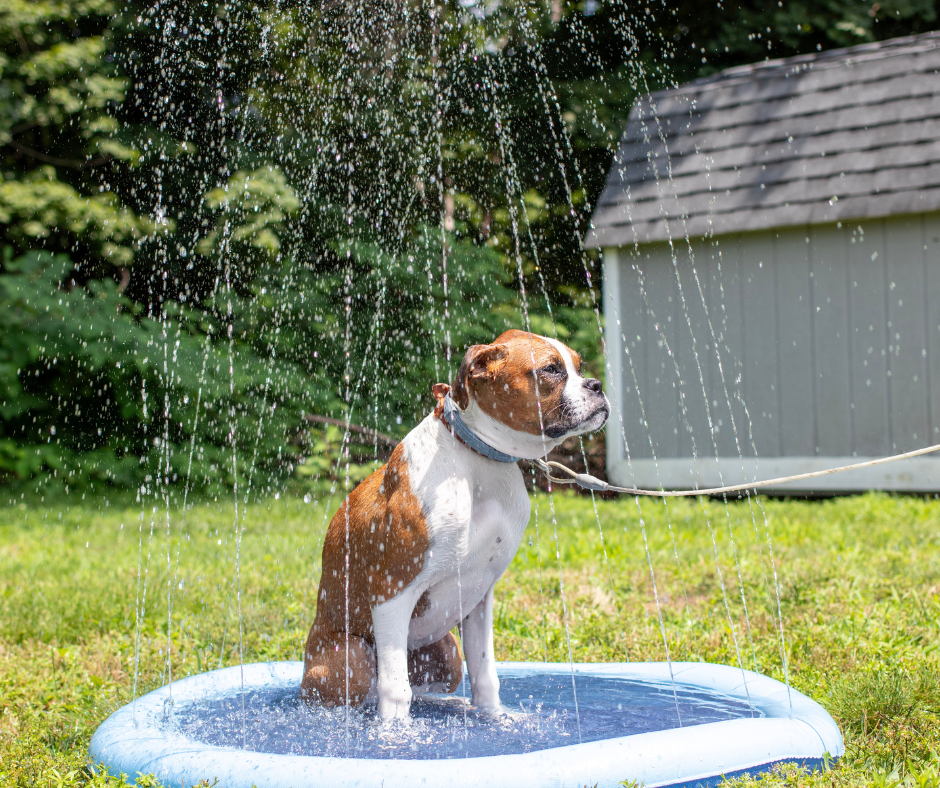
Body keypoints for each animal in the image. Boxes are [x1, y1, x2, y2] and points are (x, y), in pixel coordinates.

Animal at [302, 330, 608, 716]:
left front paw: (494, 719)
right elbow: (396, 690)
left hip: (446, 655)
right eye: (551, 369)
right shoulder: (392, 590)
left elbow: (485, 677)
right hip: (351, 657)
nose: (597, 385)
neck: (478, 458)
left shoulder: (479, 595)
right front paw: (393, 731)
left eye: (579, 367)